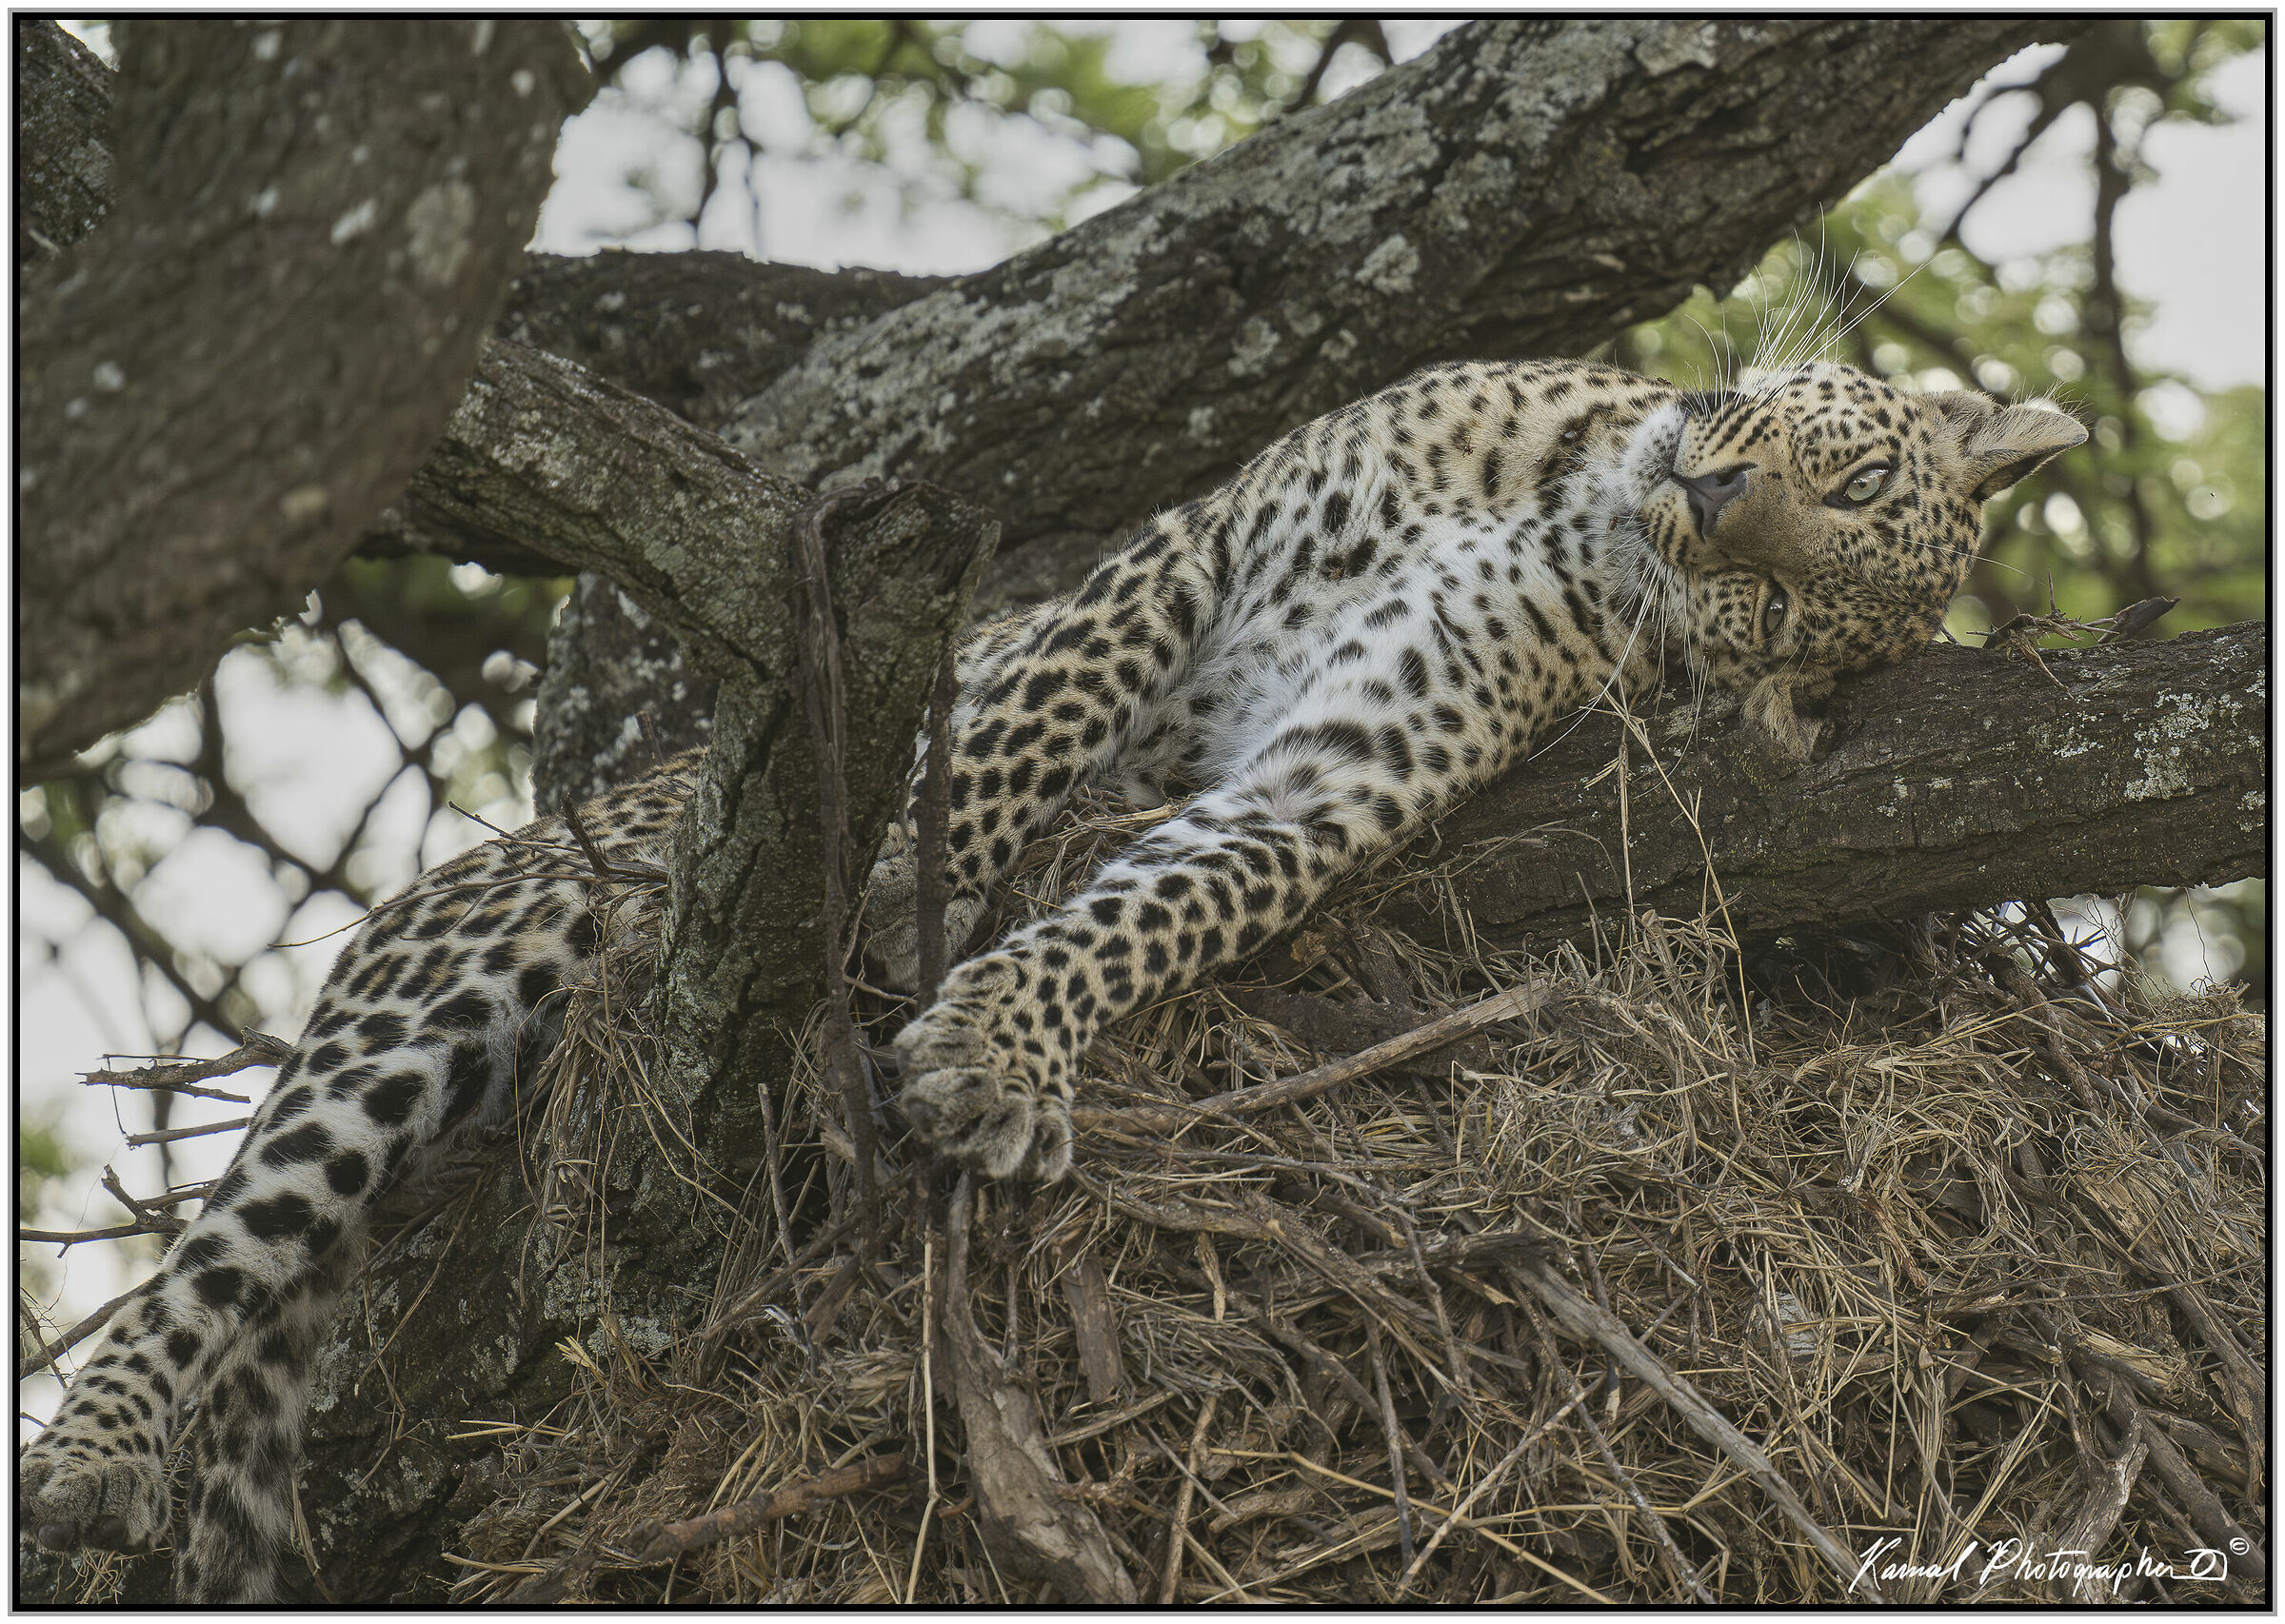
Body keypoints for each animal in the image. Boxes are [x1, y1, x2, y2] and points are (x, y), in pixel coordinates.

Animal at [18, 356, 2081, 1600]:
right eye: (1843, 465)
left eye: (1798, 609)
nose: (1717, 502)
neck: (1565, 502)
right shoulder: (1179, 557)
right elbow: (1008, 739)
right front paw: (891, 904)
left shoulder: (1352, 763)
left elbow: (1180, 891)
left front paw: (998, 1049)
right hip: (471, 948)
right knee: (251, 1213)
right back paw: (103, 1439)